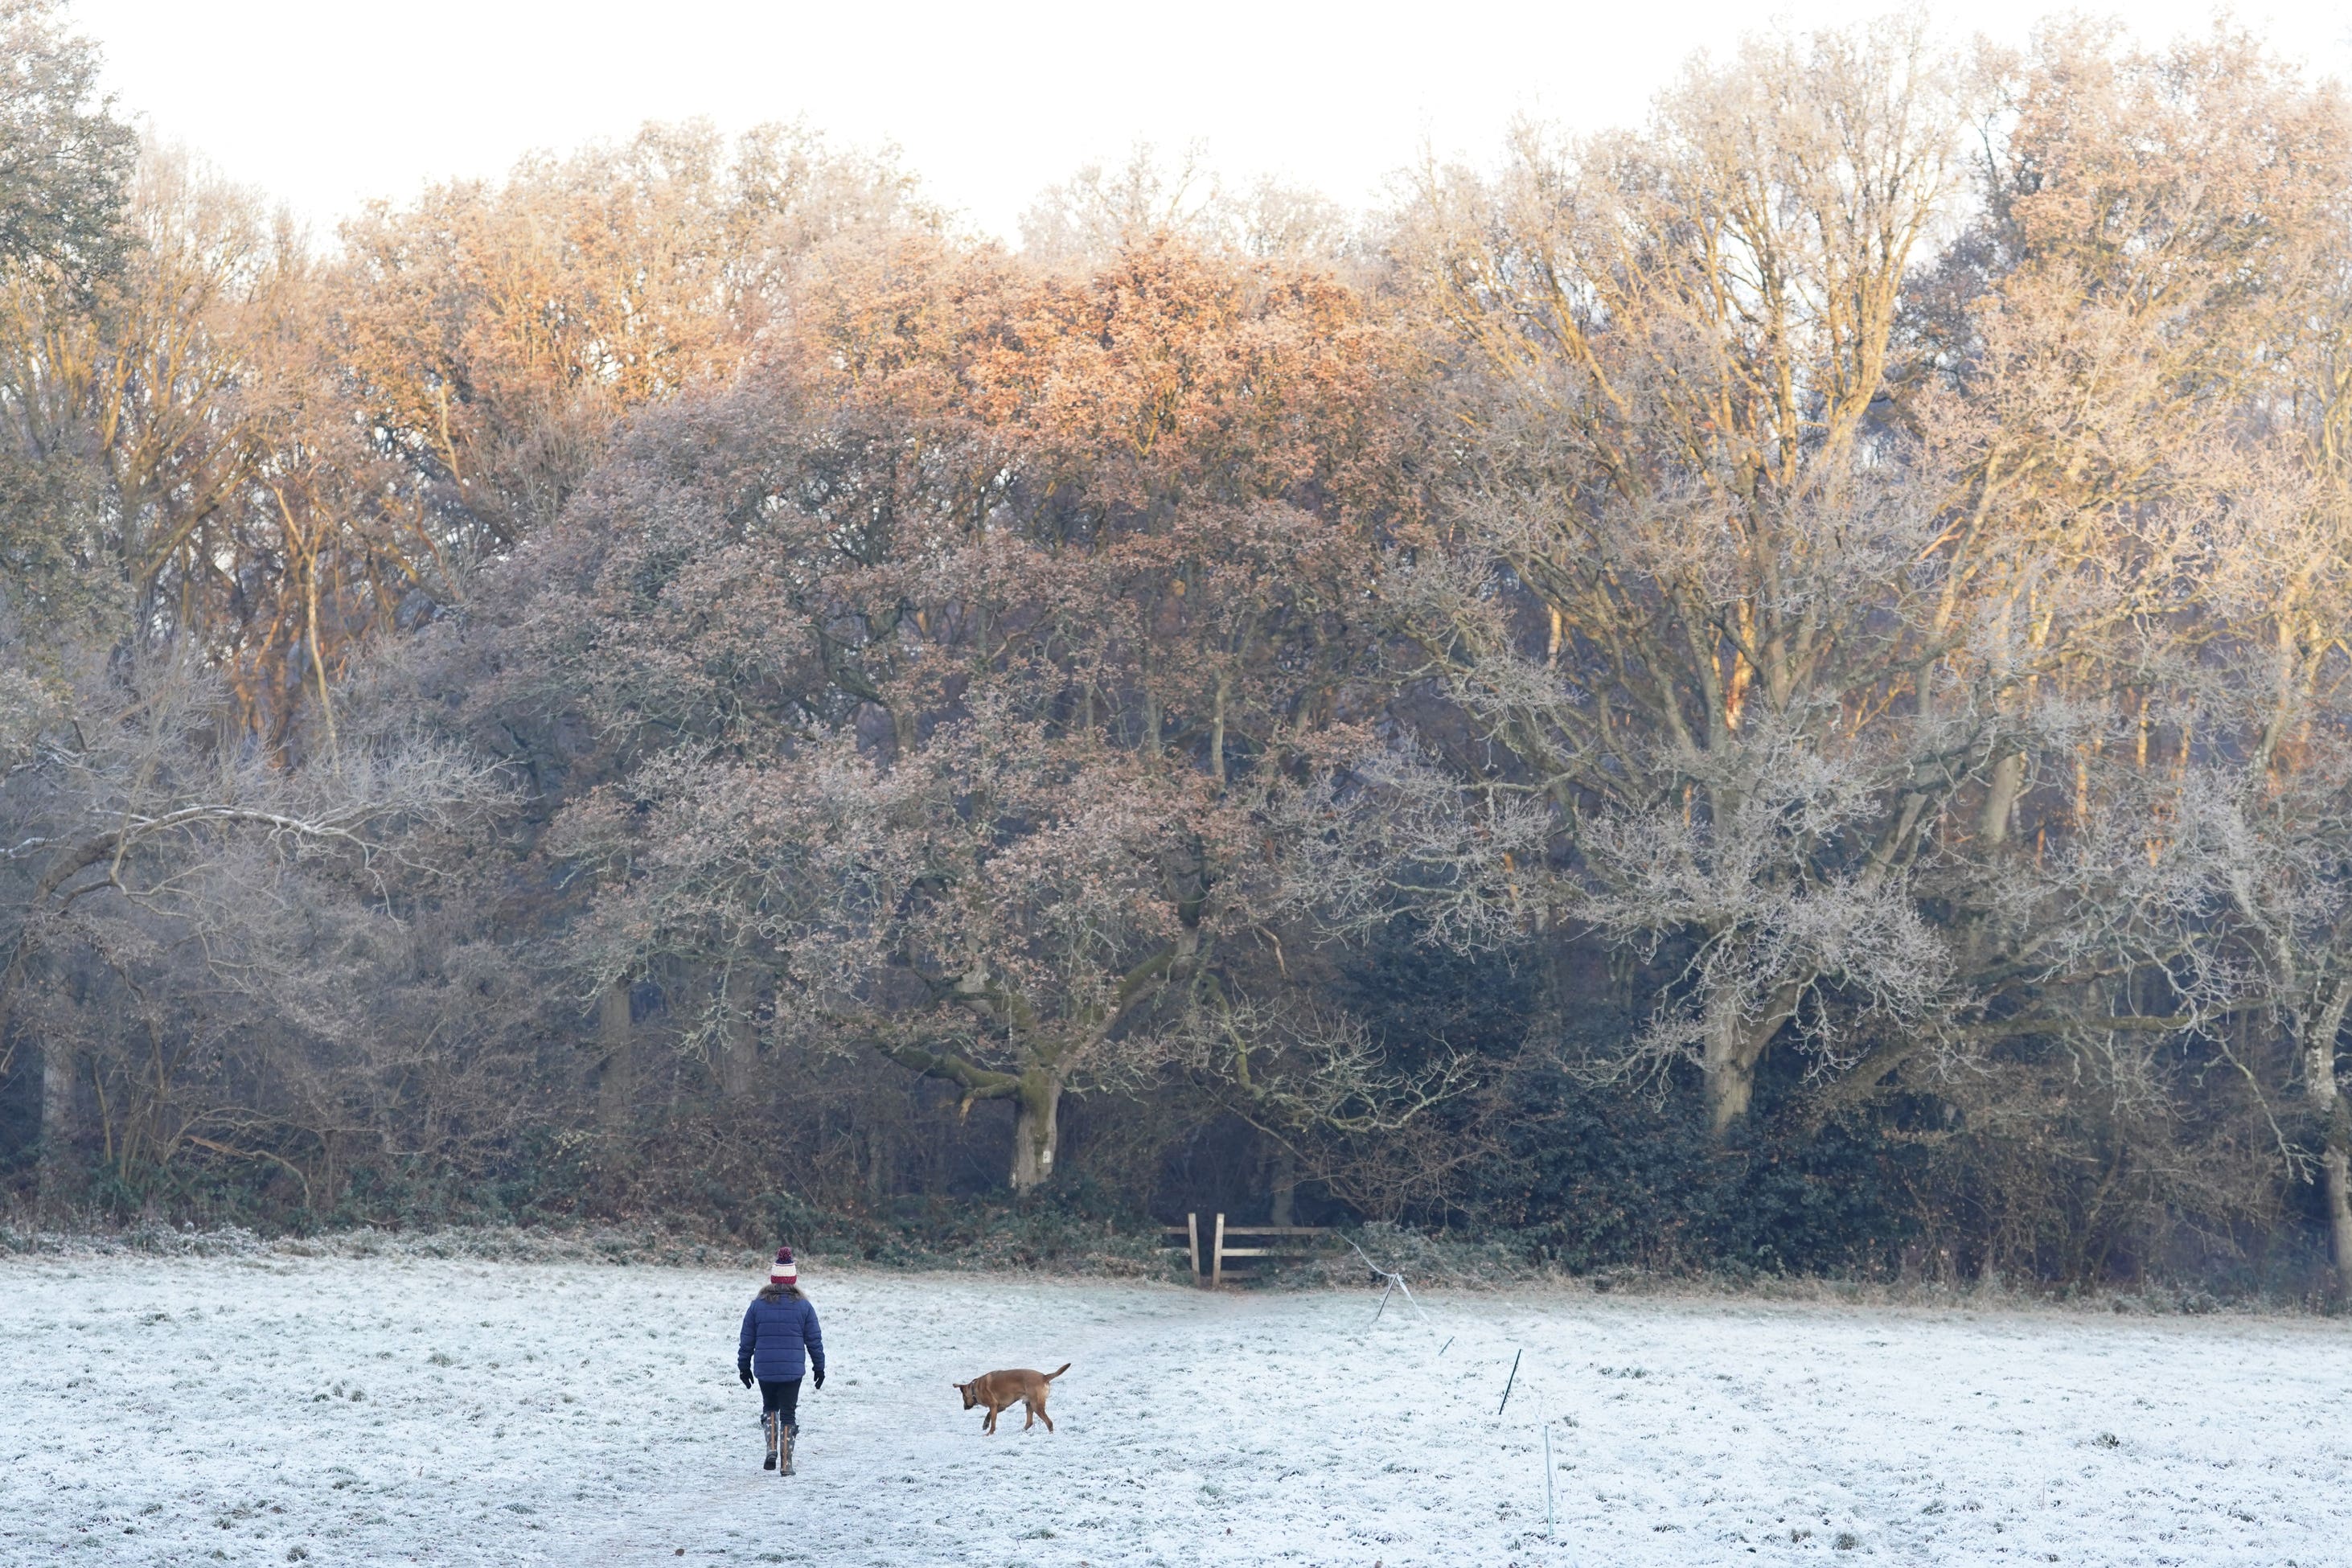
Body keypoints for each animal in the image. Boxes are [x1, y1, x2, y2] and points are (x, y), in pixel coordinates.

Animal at [950, 1363, 1072, 1439]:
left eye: (963, 1398)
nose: (964, 1407)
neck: (975, 1388)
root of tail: (1044, 1377)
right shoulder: (1000, 1407)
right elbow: (988, 1415)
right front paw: (985, 1425)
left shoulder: (993, 1406)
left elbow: (993, 1422)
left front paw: (989, 1433)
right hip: (1029, 1404)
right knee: (1029, 1422)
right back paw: (1020, 1432)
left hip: (1036, 1405)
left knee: (1049, 1422)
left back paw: (1050, 1435)